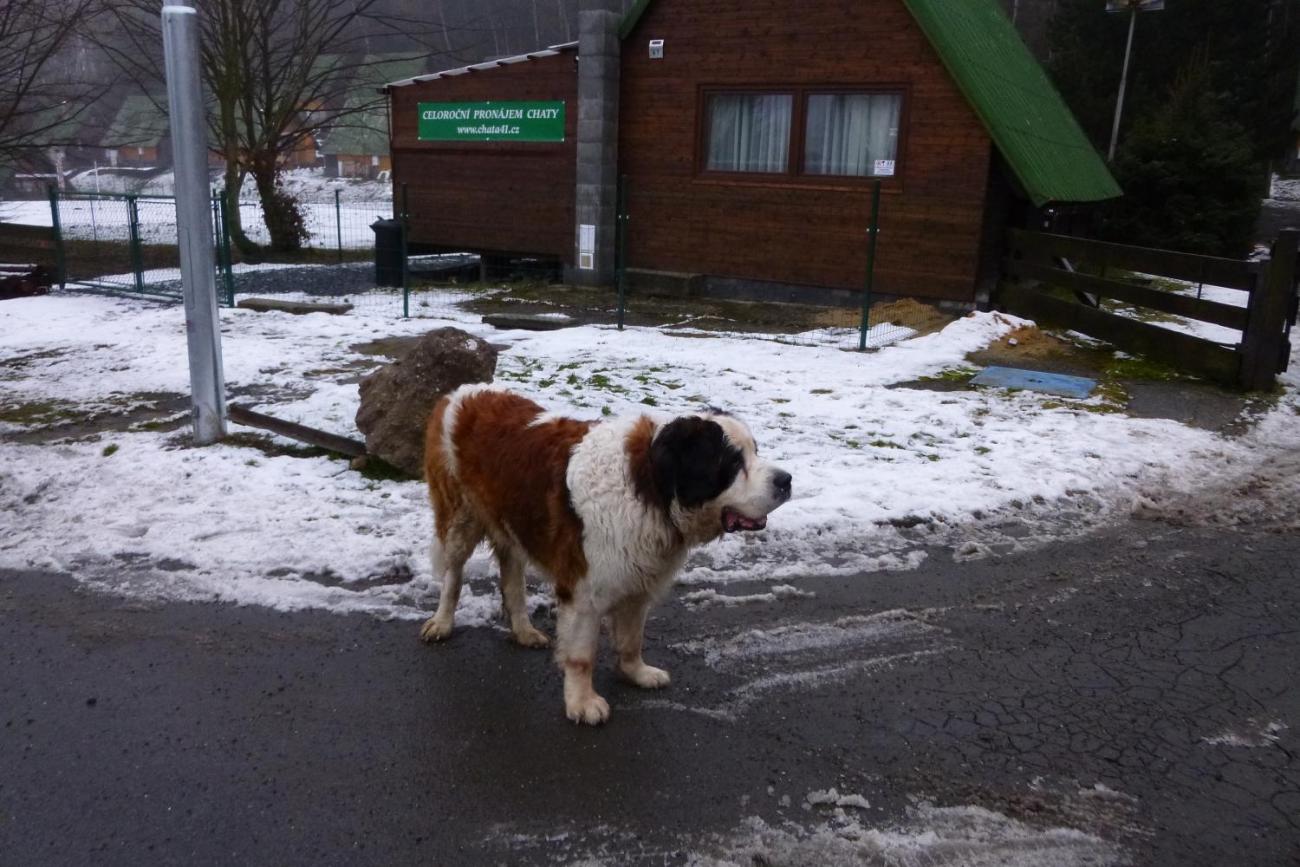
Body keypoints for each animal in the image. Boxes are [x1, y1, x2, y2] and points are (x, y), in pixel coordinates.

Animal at [421, 384, 785, 727]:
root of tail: (457, 394)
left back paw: (524, 631)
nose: (786, 480)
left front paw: (637, 672)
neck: (651, 486)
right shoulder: (585, 591)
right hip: (458, 519)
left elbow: (631, 639)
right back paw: (442, 623)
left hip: (511, 523)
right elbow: (582, 655)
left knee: (512, 580)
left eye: (755, 452)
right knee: (453, 575)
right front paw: (582, 703)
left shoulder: (638, 580)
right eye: (733, 463)